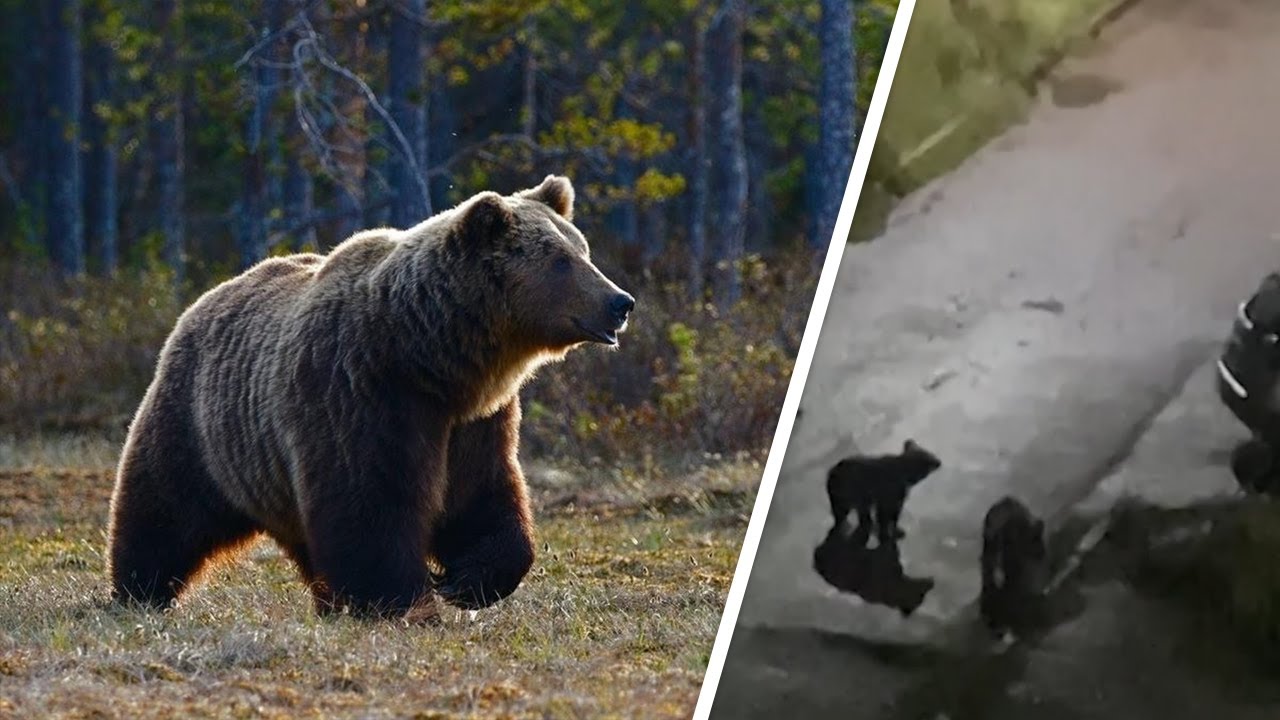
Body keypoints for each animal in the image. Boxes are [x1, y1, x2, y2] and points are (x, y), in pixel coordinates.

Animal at [107, 175, 632, 617]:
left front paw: (466, 580)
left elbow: (482, 495)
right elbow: (370, 503)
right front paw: (401, 599)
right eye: (560, 260)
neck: (430, 358)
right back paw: (139, 590)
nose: (620, 301)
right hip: (202, 424)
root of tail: (205, 299)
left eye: (582, 249)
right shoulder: (361, 393)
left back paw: (327, 601)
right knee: (163, 508)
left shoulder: (475, 421)